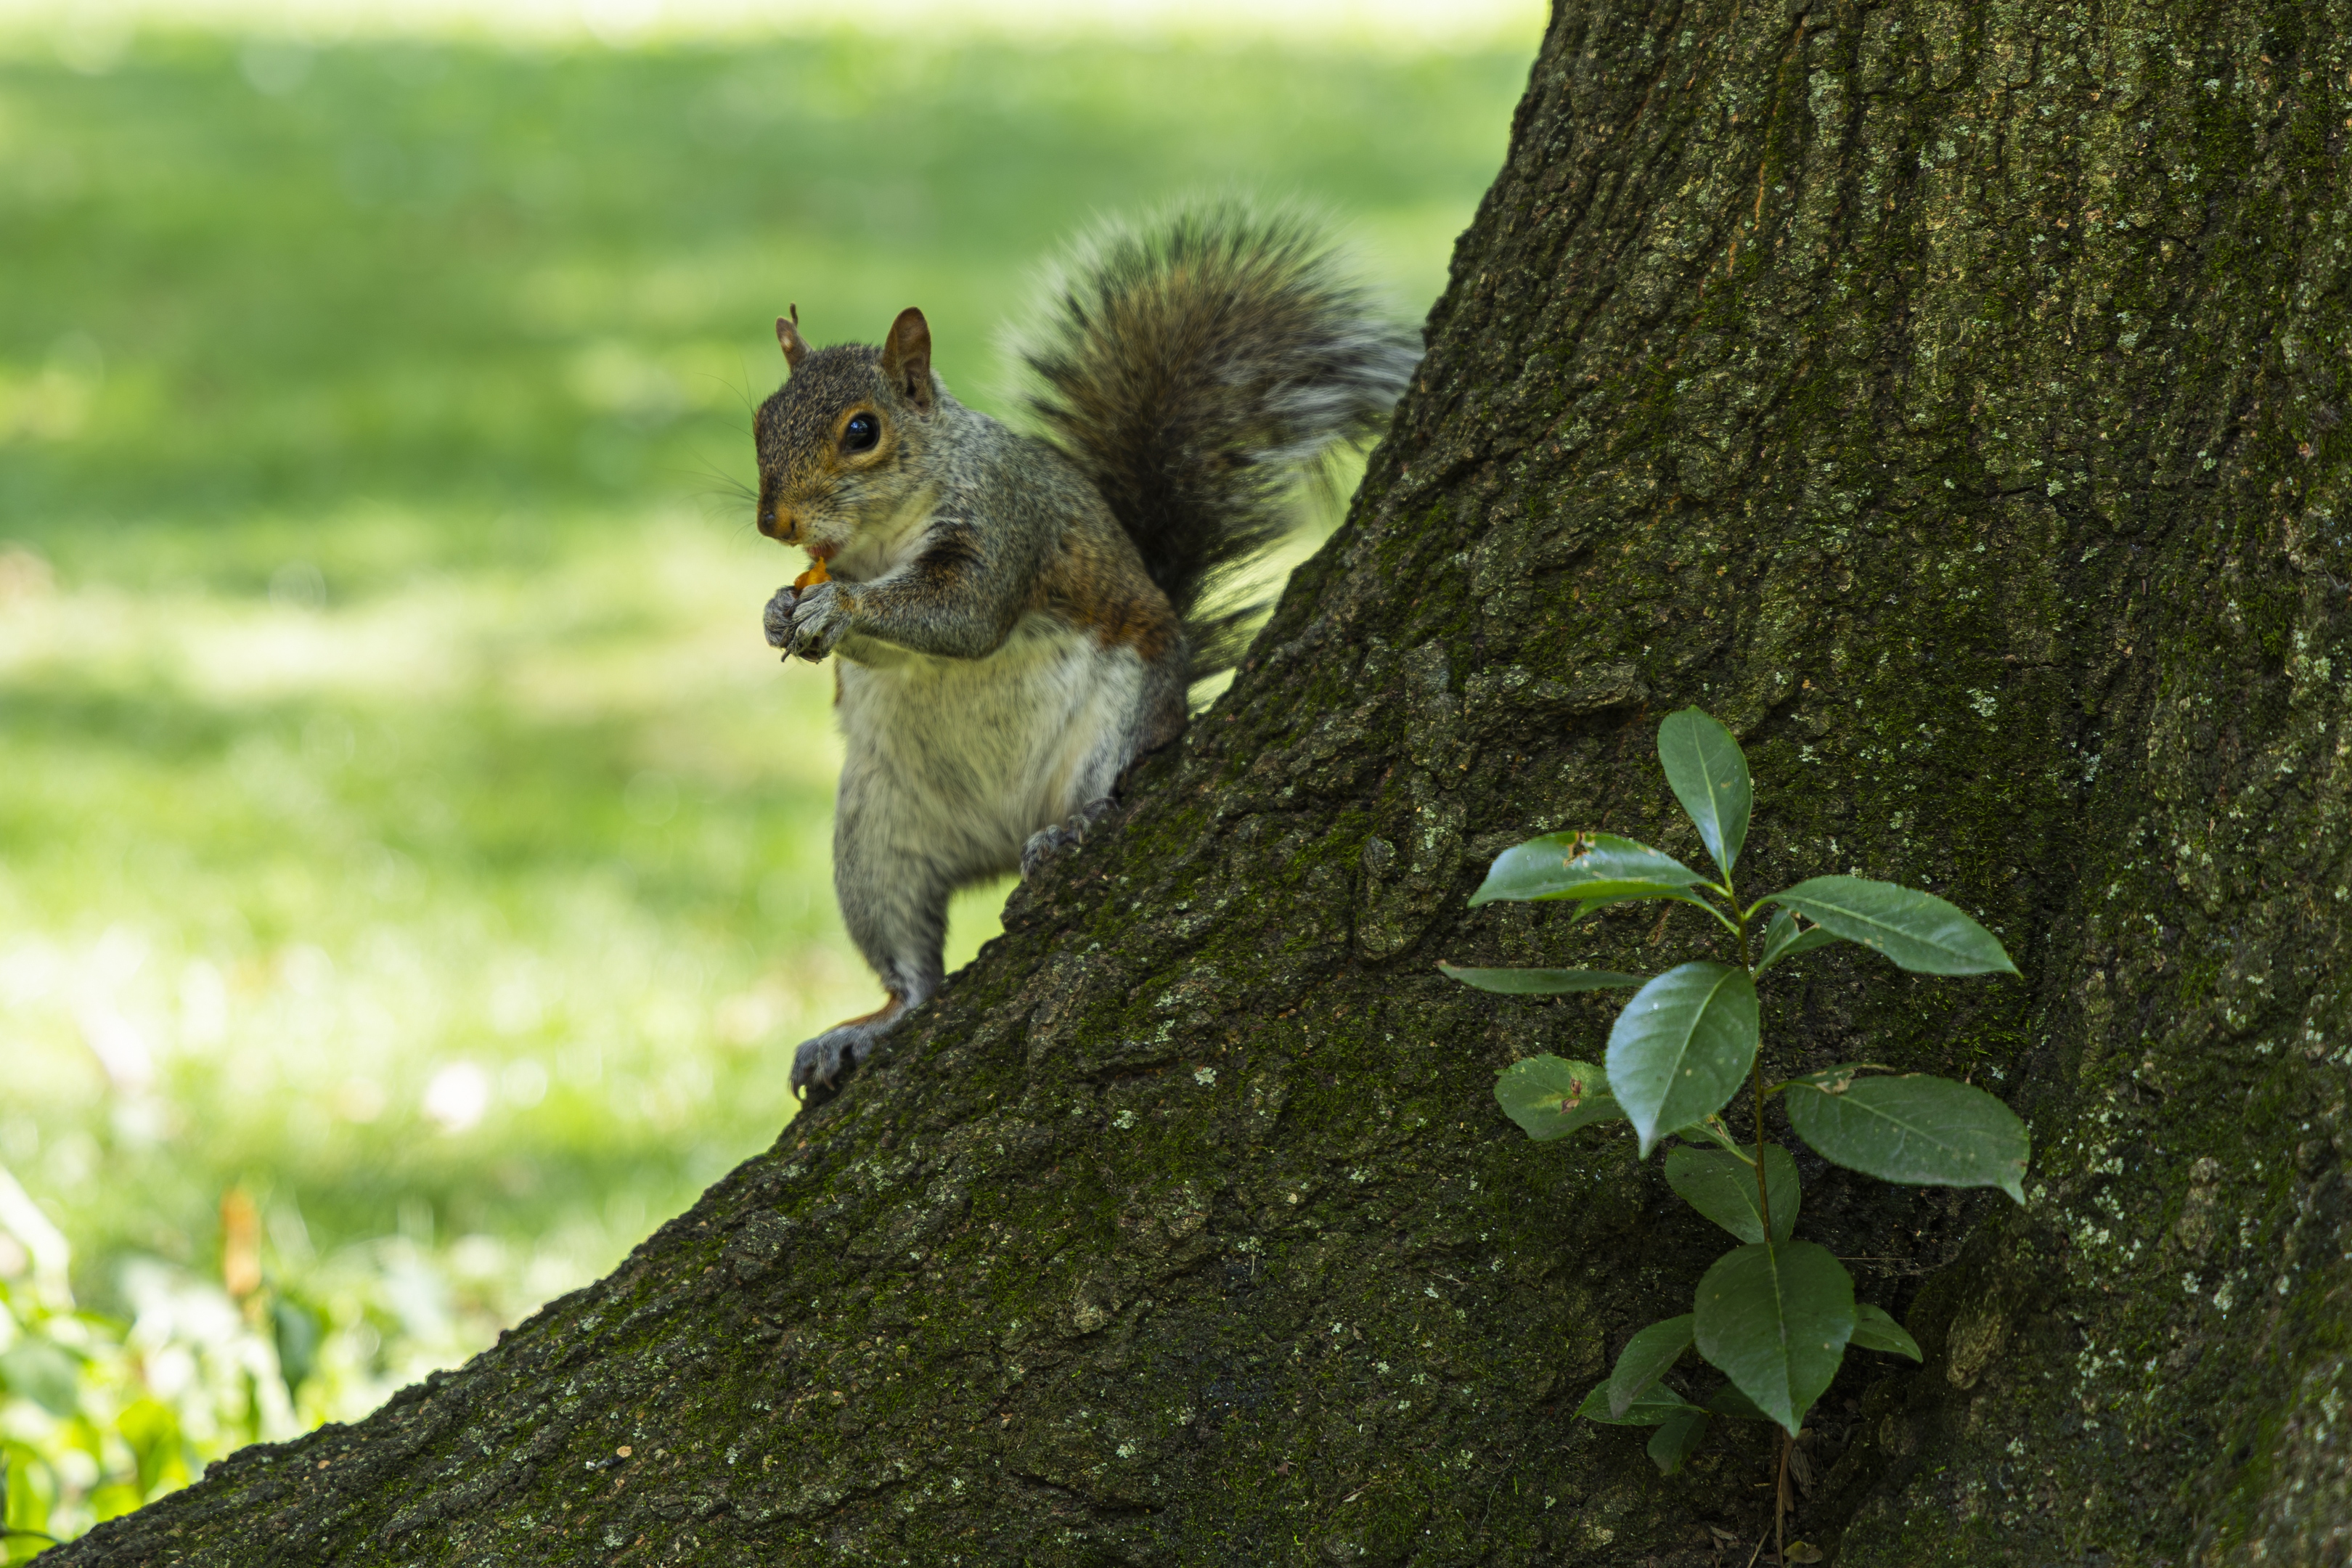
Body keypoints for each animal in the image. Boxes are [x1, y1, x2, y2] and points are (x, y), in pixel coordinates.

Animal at [752, 202, 1420, 1099]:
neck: (879, 537)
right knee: (910, 970)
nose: (774, 523)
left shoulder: (1008, 526)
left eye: (863, 431)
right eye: (761, 418)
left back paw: (1069, 833)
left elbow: (963, 619)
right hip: (875, 841)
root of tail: (998, 841)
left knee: (1101, 791)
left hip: (1111, 729)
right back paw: (863, 1029)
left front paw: (838, 605)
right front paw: (779, 610)